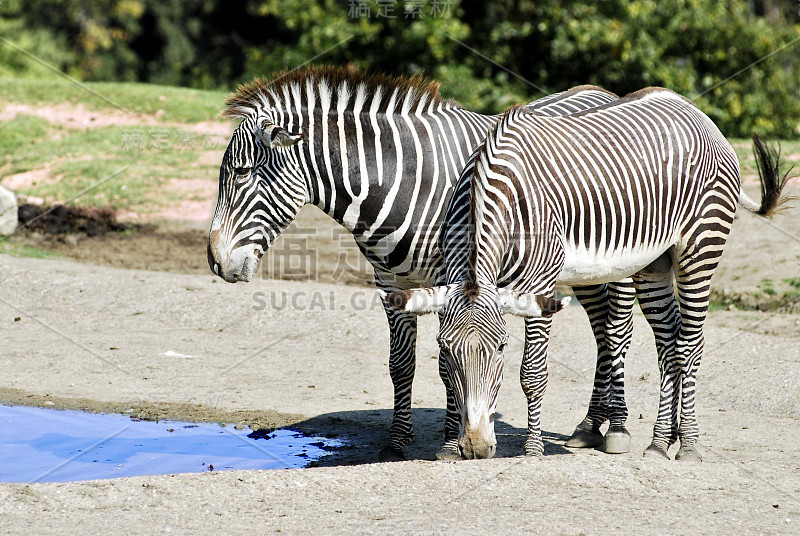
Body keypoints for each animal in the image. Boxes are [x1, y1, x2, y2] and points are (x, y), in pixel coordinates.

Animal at [205, 65, 620, 460]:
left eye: (241, 172)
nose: (215, 261)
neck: (398, 183)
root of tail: (601, 91)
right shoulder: (391, 281)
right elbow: (401, 364)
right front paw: (397, 441)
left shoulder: (449, 280)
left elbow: (445, 365)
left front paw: (451, 443)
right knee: (602, 328)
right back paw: (589, 425)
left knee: (617, 327)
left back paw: (614, 427)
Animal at [384, 89, 792, 460]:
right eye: (444, 348)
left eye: (500, 348)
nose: (476, 447)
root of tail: (694, 110)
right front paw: (452, 445)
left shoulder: (540, 282)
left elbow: (532, 372)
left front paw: (532, 449)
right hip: (654, 262)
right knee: (668, 341)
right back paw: (661, 441)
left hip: (701, 245)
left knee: (689, 342)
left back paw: (688, 443)